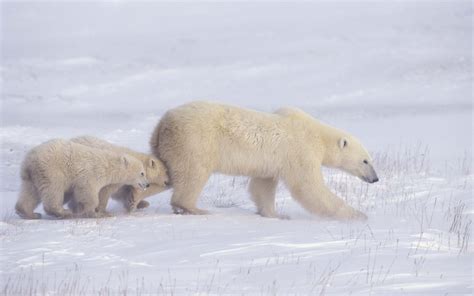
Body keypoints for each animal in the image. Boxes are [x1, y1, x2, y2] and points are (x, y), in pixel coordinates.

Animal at [15, 138, 148, 219]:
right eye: (142, 173)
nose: (147, 184)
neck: (107, 165)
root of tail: (29, 161)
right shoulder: (91, 174)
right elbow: (88, 191)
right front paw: (94, 213)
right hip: (52, 170)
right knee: (54, 189)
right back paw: (63, 212)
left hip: (33, 176)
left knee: (30, 193)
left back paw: (29, 213)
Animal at [150, 102, 380, 220]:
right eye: (365, 161)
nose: (375, 179)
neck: (318, 136)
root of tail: (163, 124)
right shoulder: (300, 151)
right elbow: (309, 188)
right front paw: (358, 215)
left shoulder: (271, 164)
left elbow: (262, 187)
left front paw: (275, 214)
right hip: (195, 142)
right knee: (193, 173)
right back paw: (194, 208)